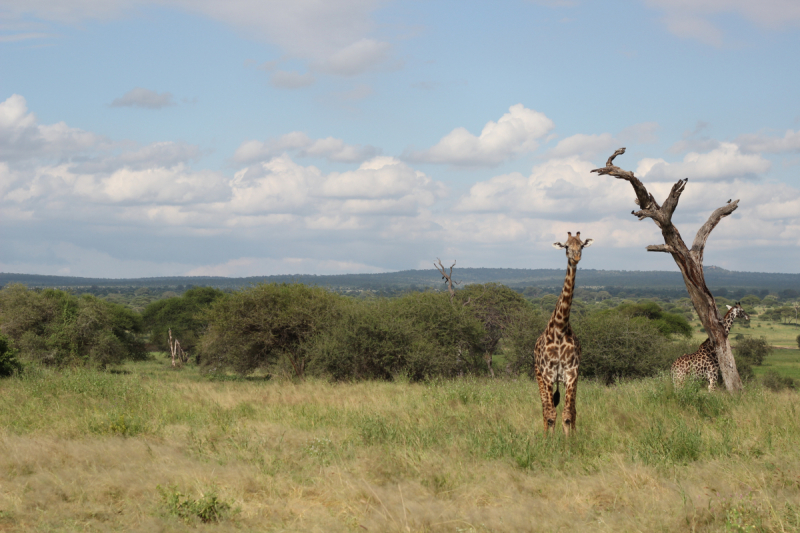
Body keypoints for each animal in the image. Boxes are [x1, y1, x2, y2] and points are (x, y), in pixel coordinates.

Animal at [536, 231, 592, 434]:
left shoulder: (572, 374)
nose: (576, 257)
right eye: (566, 246)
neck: (560, 328)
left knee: (571, 409)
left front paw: (571, 441)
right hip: (538, 375)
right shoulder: (547, 374)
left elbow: (568, 414)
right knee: (545, 408)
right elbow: (551, 414)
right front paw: (549, 442)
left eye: (581, 245)